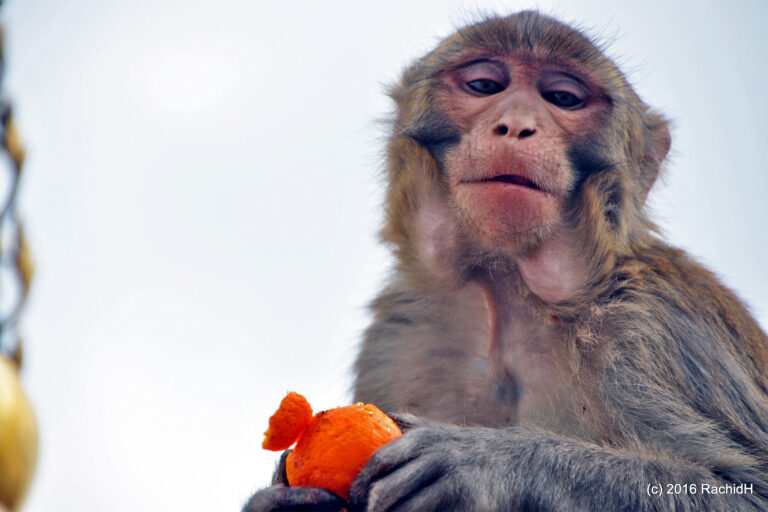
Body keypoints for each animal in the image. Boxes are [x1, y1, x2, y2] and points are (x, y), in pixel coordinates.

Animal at [243, 11, 768, 512]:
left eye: (562, 97)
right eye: (484, 86)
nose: (516, 124)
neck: (508, 287)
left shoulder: (658, 330)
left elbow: (744, 489)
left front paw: (483, 462)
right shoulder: (397, 336)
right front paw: (279, 501)